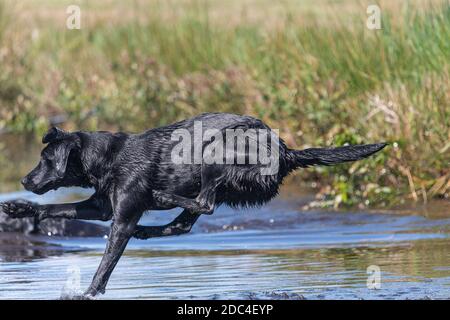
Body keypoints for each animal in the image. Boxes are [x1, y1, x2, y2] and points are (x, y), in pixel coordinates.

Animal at [0, 112, 386, 298]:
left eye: (46, 160)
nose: (24, 182)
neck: (109, 158)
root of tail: (286, 151)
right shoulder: (102, 208)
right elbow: (54, 209)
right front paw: (19, 209)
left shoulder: (119, 219)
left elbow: (104, 266)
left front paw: (89, 293)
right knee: (186, 221)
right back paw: (149, 228)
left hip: (217, 152)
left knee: (204, 204)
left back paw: (160, 200)